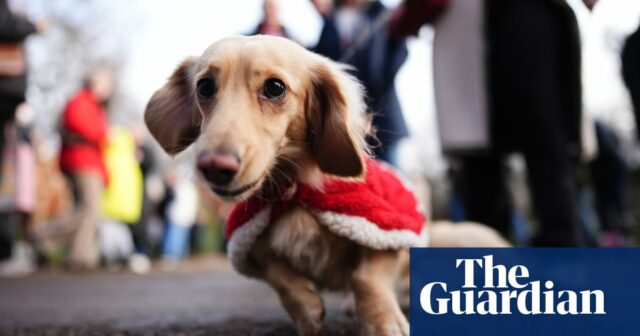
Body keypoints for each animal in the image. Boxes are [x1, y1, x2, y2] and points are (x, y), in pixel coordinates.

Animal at [146, 35, 510, 334]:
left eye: (275, 87)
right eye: (204, 87)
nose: (214, 167)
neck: (295, 191)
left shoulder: (386, 230)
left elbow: (365, 277)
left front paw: (383, 322)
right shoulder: (249, 244)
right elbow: (280, 276)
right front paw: (307, 310)